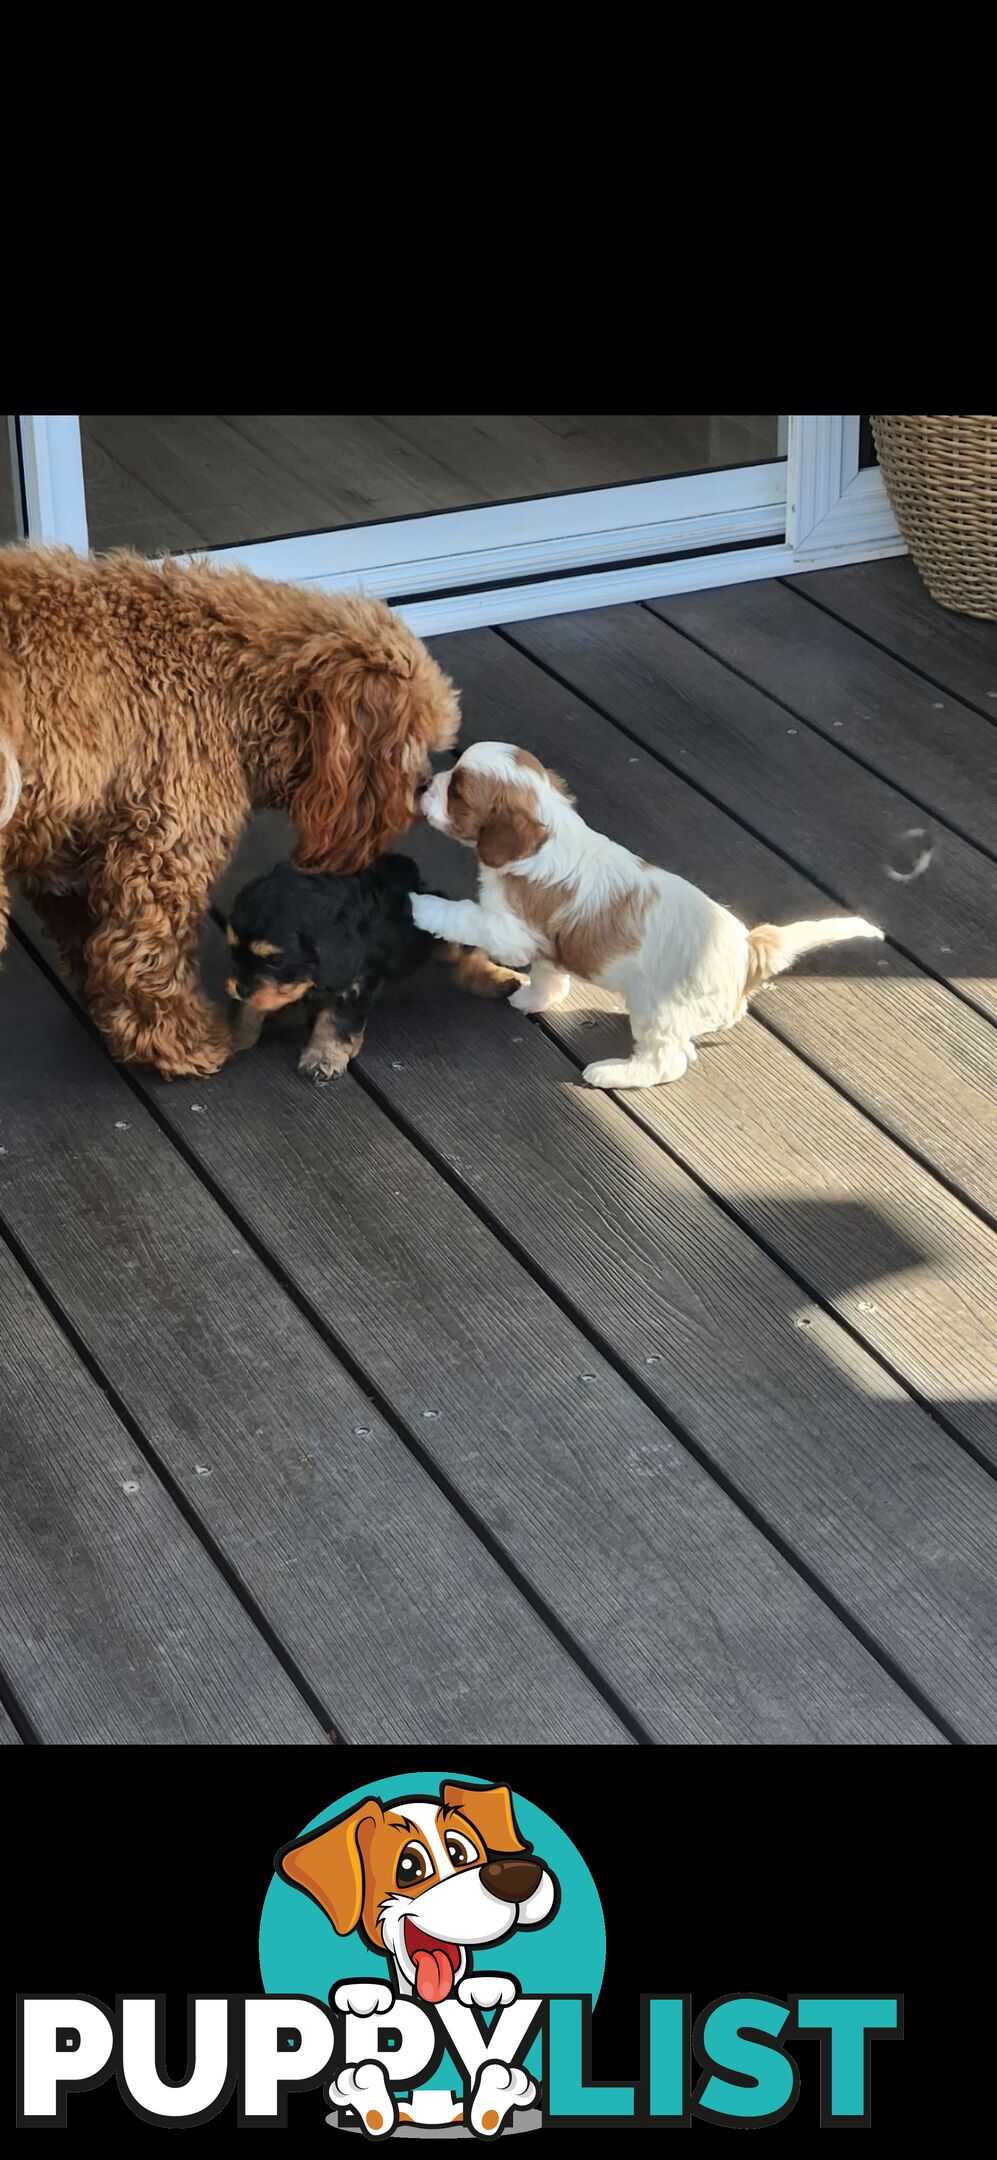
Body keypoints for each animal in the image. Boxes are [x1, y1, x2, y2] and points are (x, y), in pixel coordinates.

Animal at [0, 544, 479, 1075]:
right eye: (412, 740)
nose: (422, 789)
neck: (222, 673)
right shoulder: (166, 852)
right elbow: (147, 963)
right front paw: (188, 1044)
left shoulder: (69, 848)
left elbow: (91, 941)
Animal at [226, 846, 522, 1075]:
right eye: (234, 951)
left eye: (275, 961)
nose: (239, 988)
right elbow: (251, 1006)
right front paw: (234, 1035)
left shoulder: (358, 985)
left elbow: (336, 1021)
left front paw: (323, 1056)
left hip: (432, 928)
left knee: (464, 954)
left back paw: (501, 979)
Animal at [410, 743, 880, 1088]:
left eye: (456, 792)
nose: (424, 784)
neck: (550, 836)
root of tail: (749, 948)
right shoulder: (547, 944)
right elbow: (548, 974)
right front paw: (533, 998)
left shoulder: (510, 929)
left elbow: (464, 916)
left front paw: (419, 905)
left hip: (659, 1008)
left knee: (666, 1061)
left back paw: (611, 1073)